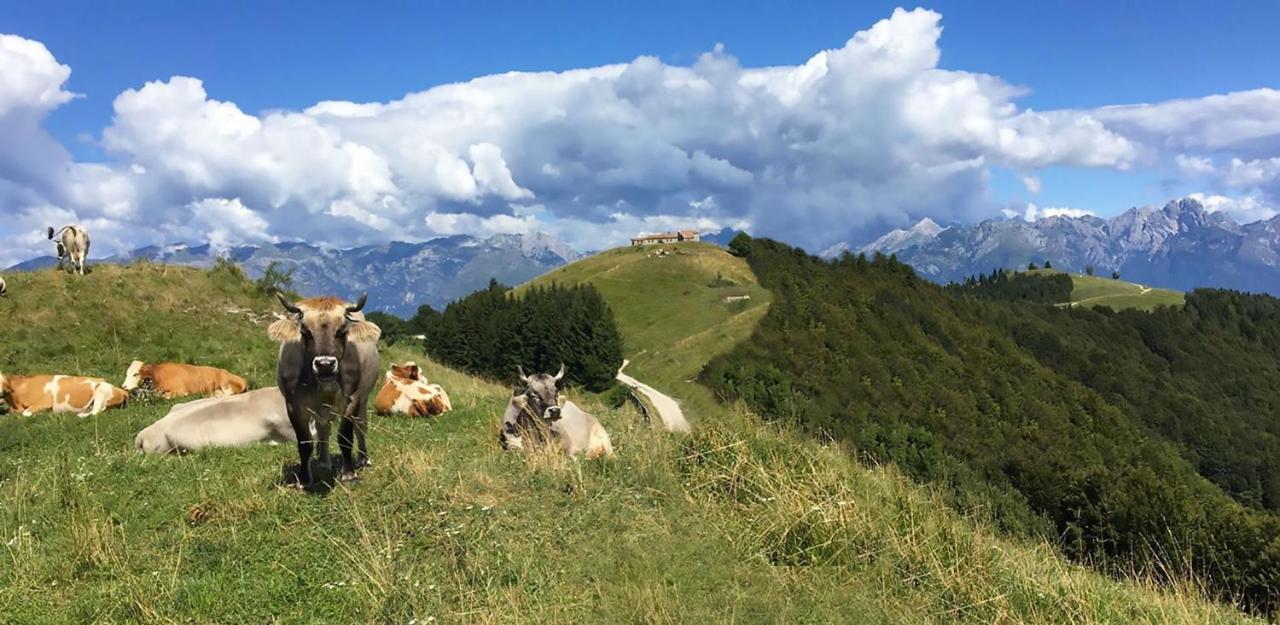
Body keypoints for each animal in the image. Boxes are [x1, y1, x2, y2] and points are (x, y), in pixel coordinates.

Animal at [0, 373, 128, 417]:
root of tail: (122, 391)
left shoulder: (46, 400)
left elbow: (26, 413)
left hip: (101, 391)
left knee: (96, 412)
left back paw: (80, 415)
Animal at [120, 358, 248, 397]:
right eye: (126, 373)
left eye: (135, 374)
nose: (123, 386)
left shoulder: (180, 390)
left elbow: (164, 396)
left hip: (225, 383)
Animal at [271, 293, 381, 489]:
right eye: (305, 332)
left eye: (342, 331)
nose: (324, 365)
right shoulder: (293, 404)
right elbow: (305, 442)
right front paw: (304, 479)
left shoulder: (352, 399)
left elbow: (345, 436)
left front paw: (349, 473)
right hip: (321, 407)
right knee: (324, 428)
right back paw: (323, 460)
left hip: (363, 398)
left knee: (361, 426)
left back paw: (362, 458)